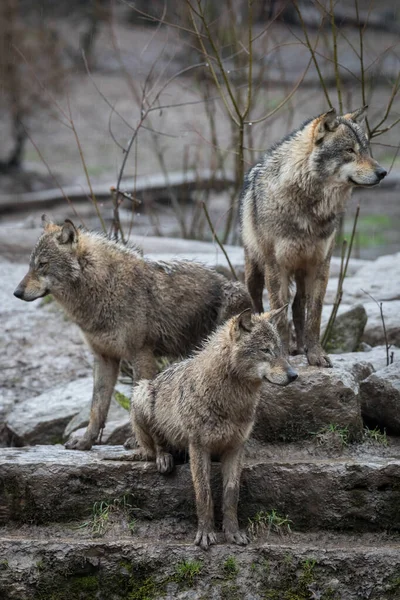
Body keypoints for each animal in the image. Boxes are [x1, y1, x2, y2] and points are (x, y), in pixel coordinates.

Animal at [14, 217, 252, 450]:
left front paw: (136, 442)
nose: (17, 292)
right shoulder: (104, 357)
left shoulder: (141, 354)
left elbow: (136, 402)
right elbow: (97, 408)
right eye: (30, 265)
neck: (102, 288)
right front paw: (85, 441)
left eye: (42, 264)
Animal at [119, 310, 296, 548]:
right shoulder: (198, 447)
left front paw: (233, 533)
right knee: (153, 447)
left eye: (280, 350)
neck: (231, 401)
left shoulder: (235, 448)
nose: (294, 375)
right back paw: (164, 458)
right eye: (265, 350)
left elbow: (231, 495)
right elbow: (204, 494)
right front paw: (205, 534)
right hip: (142, 392)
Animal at [241, 108, 388, 368]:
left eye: (366, 149)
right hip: (255, 273)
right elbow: (279, 316)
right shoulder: (276, 267)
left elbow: (315, 316)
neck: (309, 208)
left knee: (299, 306)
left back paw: (300, 347)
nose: (383, 173)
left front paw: (315, 354)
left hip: (302, 273)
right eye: (349, 150)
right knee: (259, 305)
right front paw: (282, 354)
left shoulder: (321, 265)